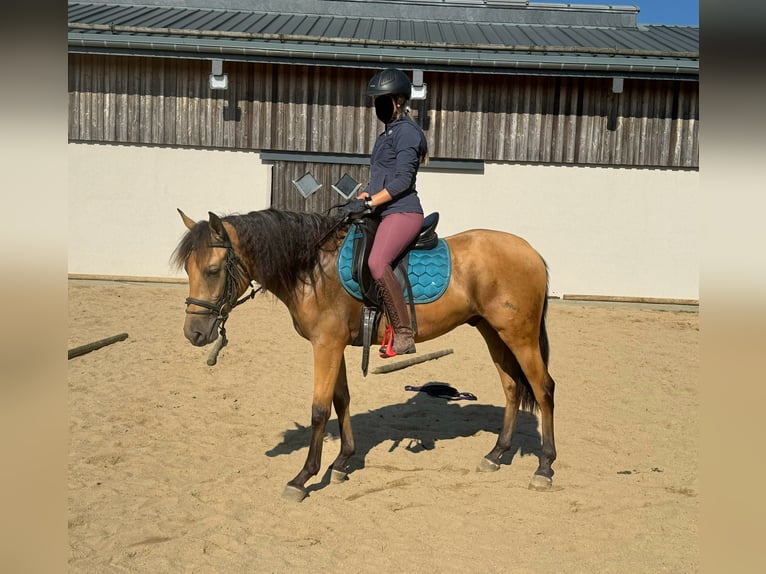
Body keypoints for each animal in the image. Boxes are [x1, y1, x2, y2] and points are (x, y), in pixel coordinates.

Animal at [174, 209, 560, 502]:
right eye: (188, 270)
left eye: (212, 270)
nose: (193, 333)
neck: (313, 268)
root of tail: (531, 251)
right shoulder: (336, 345)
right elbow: (342, 400)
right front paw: (342, 462)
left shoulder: (326, 345)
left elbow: (319, 410)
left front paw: (303, 477)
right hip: (493, 332)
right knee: (512, 388)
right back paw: (496, 454)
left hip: (520, 336)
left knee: (543, 389)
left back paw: (544, 467)